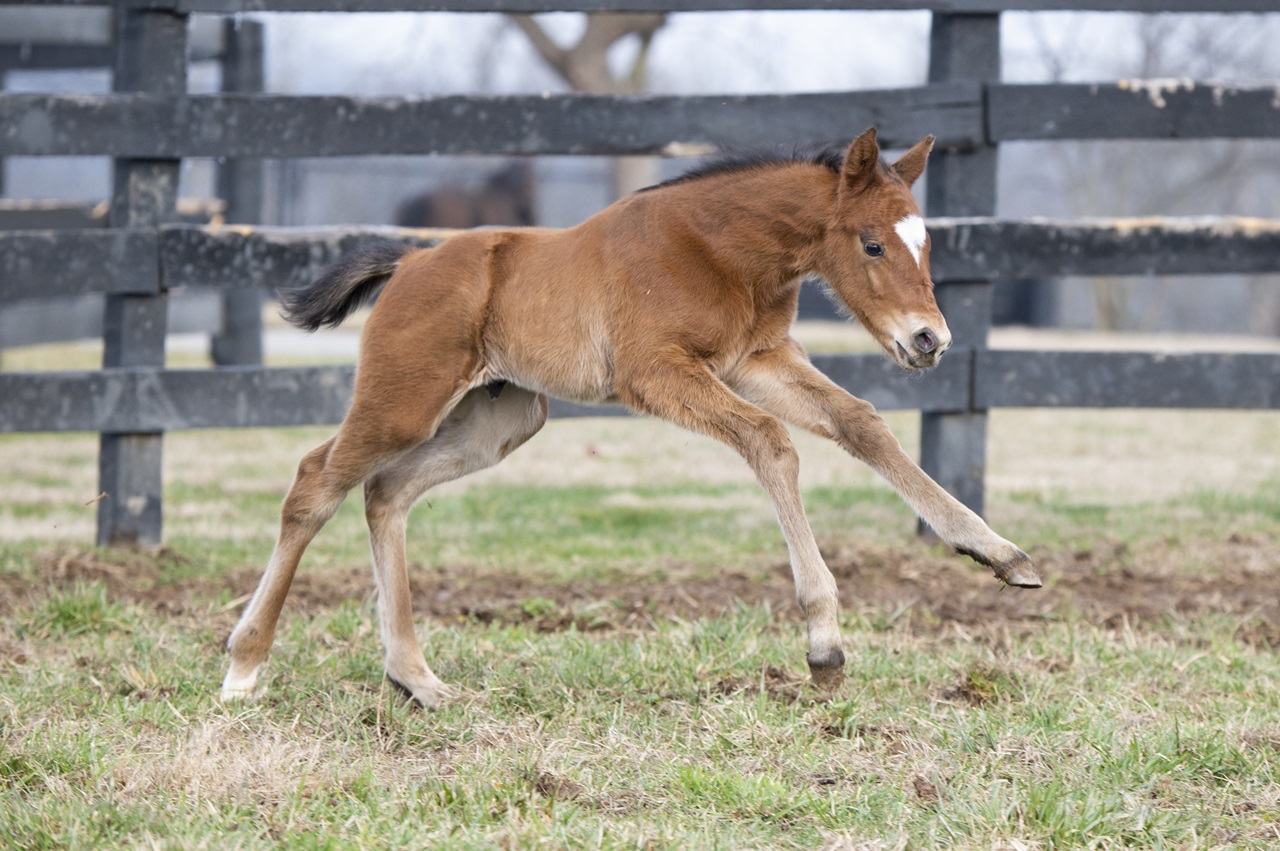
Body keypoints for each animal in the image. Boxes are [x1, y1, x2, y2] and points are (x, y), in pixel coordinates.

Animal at [220, 127, 1041, 708]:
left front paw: (999, 554)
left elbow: (861, 423)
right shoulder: (658, 372)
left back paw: (415, 678)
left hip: (500, 419)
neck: (716, 246)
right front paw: (824, 646)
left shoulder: (759, 359)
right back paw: (244, 666)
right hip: (404, 401)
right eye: (871, 243)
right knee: (314, 482)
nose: (929, 340)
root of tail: (412, 261)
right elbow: (769, 442)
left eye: (924, 243)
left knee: (384, 493)